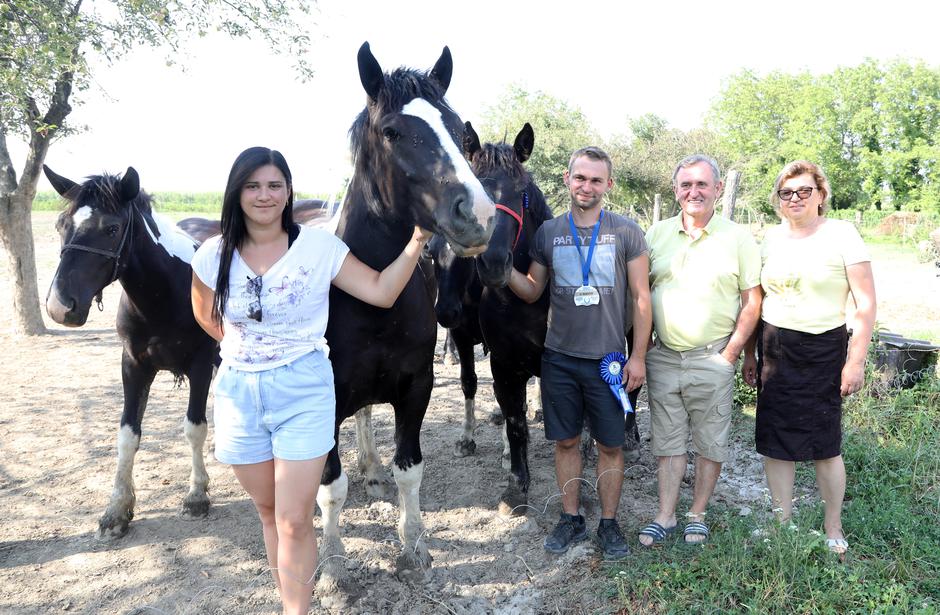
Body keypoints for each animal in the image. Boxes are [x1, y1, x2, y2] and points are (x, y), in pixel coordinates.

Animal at [43, 167, 217, 540]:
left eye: (111, 228)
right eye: (61, 224)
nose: (59, 307)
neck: (168, 291)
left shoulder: (200, 364)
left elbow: (194, 427)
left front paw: (196, 495)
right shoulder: (133, 365)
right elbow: (127, 435)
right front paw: (117, 510)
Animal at [316, 42, 496, 592]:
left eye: (457, 128)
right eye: (392, 131)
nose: (477, 214)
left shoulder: (415, 387)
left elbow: (409, 469)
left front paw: (414, 548)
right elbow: (330, 487)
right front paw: (332, 566)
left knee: (365, 418)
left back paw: (372, 467)